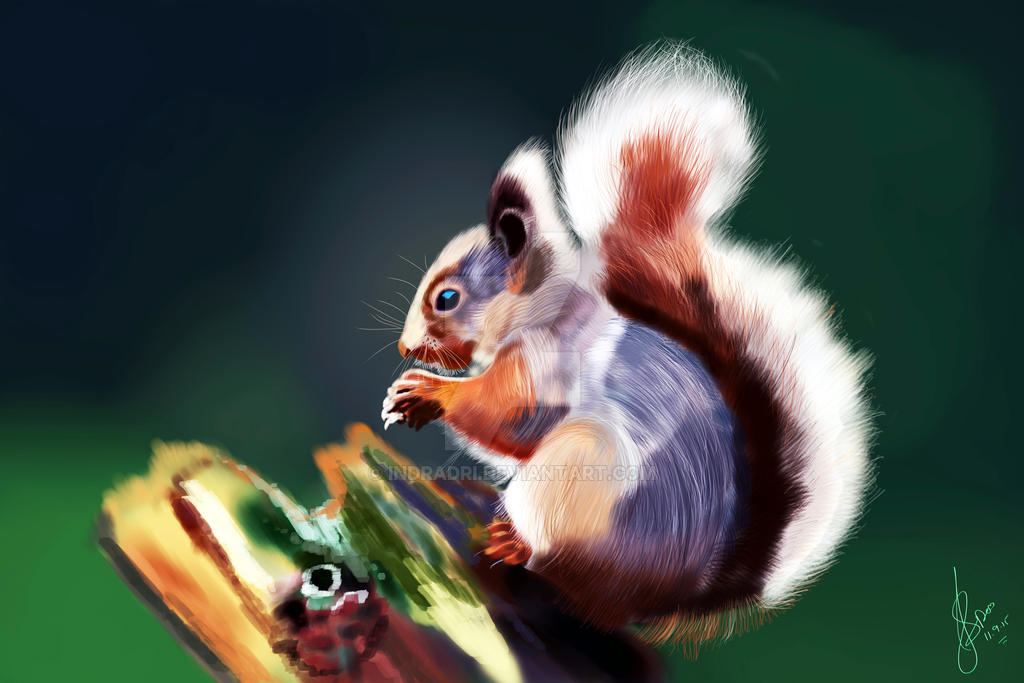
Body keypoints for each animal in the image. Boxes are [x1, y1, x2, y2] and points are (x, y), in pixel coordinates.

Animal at [380, 44, 872, 642]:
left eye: (446, 298)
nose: (405, 349)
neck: (543, 310)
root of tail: (667, 596)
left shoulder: (546, 363)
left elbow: (509, 414)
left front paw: (430, 392)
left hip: (583, 469)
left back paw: (515, 542)